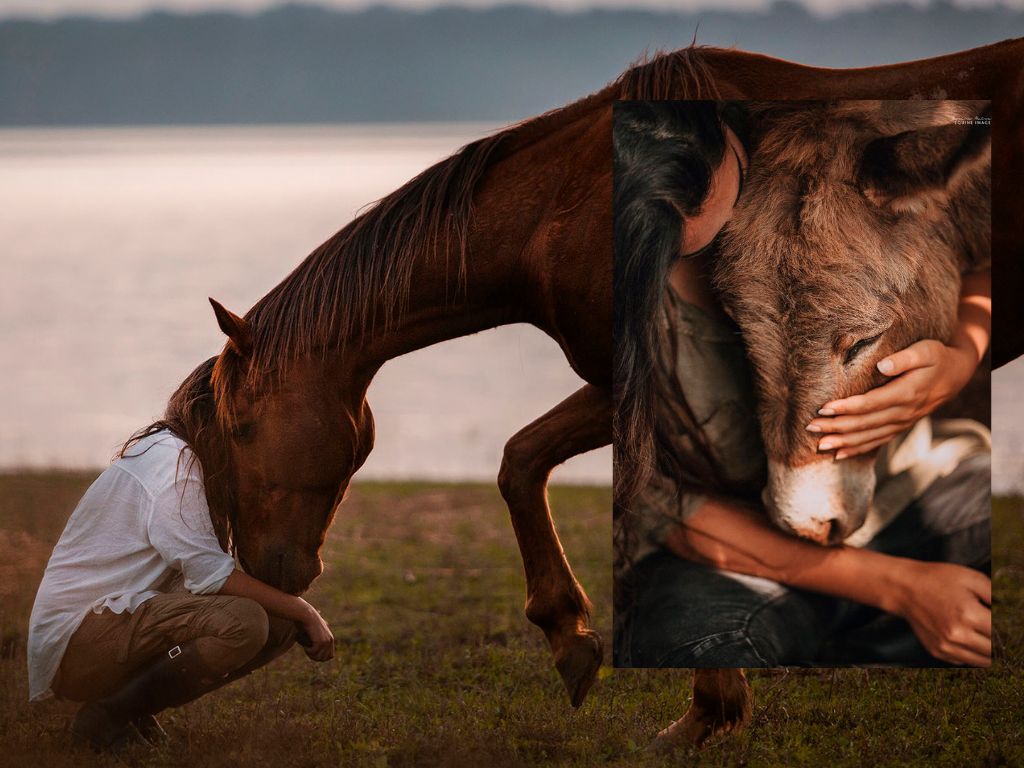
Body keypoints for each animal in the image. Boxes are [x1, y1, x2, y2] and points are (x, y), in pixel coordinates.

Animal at [200, 39, 1021, 750]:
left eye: (239, 429)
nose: (265, 573)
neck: (568, 208)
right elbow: (529, 463)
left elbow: (528, 463)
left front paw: (614, 658)